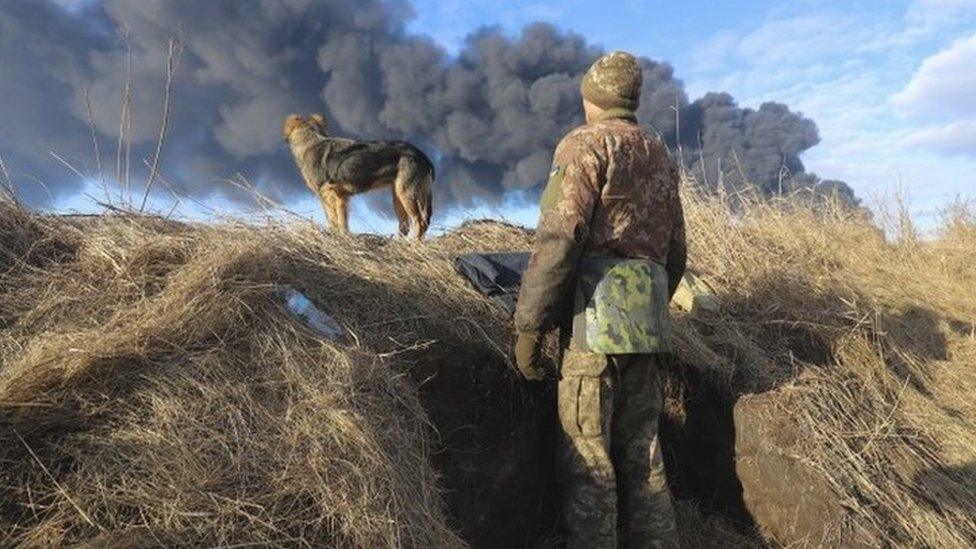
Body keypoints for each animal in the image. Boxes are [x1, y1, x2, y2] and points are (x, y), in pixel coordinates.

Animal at [282, 113, 434, 238]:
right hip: (397, 196)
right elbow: (341, 222)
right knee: (405, 225)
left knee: (419, 222)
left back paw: (414, 245)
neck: (311, 140)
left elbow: (334, 220)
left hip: (407, 193)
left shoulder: (328, 194)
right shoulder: (340, 197)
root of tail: (422, 156)